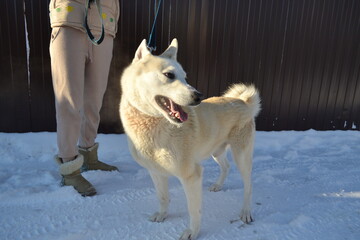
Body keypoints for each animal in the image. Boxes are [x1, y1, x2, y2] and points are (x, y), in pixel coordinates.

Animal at [119, 38, 260, 239]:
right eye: (169, 75)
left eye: (185, 77)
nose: (199, 96)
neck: (154, 125)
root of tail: (242, 101)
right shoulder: (156, 171)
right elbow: (163, 197)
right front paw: (162, 215)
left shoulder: (191, 175)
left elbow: (194, 210)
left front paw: (192, 232)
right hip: (216, 151)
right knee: (226, 166)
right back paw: (218, 186)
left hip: (241, 155)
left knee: (248, 185)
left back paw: (246, 212)